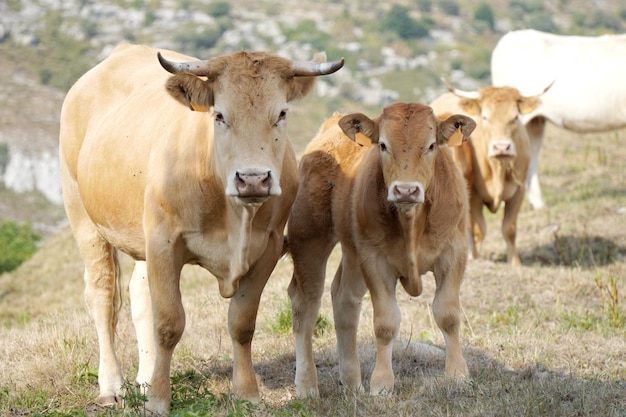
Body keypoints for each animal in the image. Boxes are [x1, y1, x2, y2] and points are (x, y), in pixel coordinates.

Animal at [58, 43, 342, 412]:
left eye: (281, 113)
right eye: (219, 115)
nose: (253, 179)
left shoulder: (268, 247)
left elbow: (242, 323)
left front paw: (247, 393)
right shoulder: (165, 243)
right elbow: (169, 324)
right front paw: (158, 401)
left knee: (139, 294)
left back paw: (144, 379)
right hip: (82, 216)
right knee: (103, 295)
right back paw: (111, 385)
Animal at [286, 101, 470, 396]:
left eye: (431, 145)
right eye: (383, 144)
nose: (405, 190)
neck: (410, 222)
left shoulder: (454, 253)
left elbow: (448, 315)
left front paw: (458, 375)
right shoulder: (375, 261)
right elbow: (385, 323)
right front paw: (382, 384)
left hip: (352, 252)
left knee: (344, 298)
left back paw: (351, 382)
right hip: (309, 237)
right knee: (306, 304)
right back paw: (307, 385)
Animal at [428, 84, 540, 264]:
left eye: (515, 117)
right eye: (485, 117)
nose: (501, 147)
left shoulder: (519, 190)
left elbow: (509, 228)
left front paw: (515, 262)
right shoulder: (474, 196)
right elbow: (478, 229)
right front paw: (473, 258)